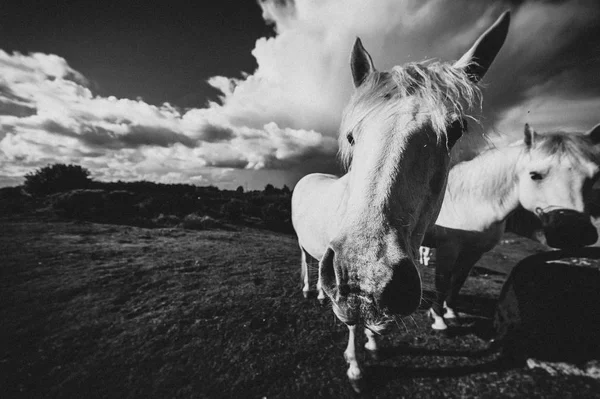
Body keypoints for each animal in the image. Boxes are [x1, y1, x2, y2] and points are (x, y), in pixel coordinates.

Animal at [290, 10, 510, 392]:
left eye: (455, 131)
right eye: (352, 135)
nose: (364, 275)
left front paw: (374, 343)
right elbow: (353, 320)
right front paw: (356, 366)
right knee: (306, 261)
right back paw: (309, 289)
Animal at [424, 122, 600, 332]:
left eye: (594, 178)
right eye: (535, 175)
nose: (574, 229)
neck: (469, 200)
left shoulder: (473, 252)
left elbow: (458, 281)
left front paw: (451, 313)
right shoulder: (448, 248)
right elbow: (442, 281)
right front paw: (438, 319)